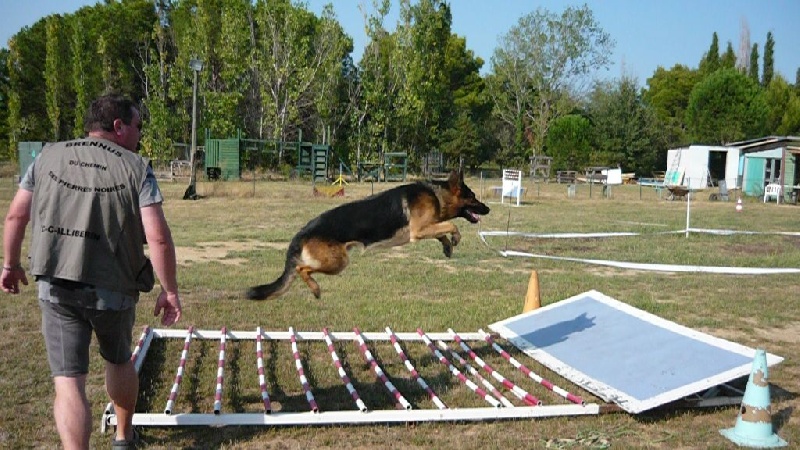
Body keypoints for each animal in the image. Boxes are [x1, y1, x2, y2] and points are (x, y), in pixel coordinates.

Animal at [247, 171, 490, 300]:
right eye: (473, 197)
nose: (488, 209)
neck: (437, 195)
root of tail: (302, 232)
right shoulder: (419, 230)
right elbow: (451, 225)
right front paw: (455, 238)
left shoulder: (425, 228)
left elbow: (442, 230)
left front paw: (447, 246)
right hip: (338, 262)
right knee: (301, 269)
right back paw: (315, 289)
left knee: (302, 269)